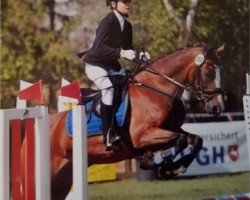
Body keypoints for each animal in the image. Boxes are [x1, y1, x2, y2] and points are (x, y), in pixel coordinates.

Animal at [21, 43, 225, 198]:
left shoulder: (169, 130)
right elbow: (180, 141)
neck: (156, 90)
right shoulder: (142, 136)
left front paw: (172, 167)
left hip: (63, 178)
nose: (217, 108)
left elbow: (195, 140)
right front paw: (165, 166)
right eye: (208, 72)